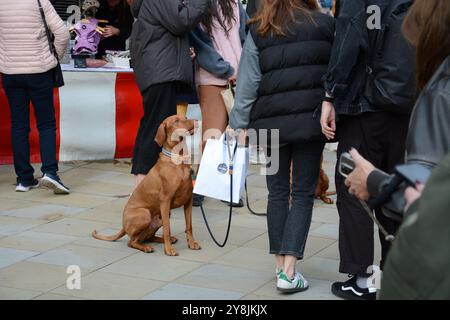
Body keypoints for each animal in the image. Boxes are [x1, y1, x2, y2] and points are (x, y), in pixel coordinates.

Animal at [91, 115, 200, 255]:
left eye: (185, 117)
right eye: (176, 120)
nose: (196, 121)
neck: (178, 159)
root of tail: (123, 226)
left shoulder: (188, 200)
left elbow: (189, 225)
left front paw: (192, 243)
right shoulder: (165, 201)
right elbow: (167, 228)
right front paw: (169, 249)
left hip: (159, 218)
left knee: (148, 237)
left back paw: (166, 239)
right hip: (145, 214)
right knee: (131, 241)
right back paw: (147, 247)